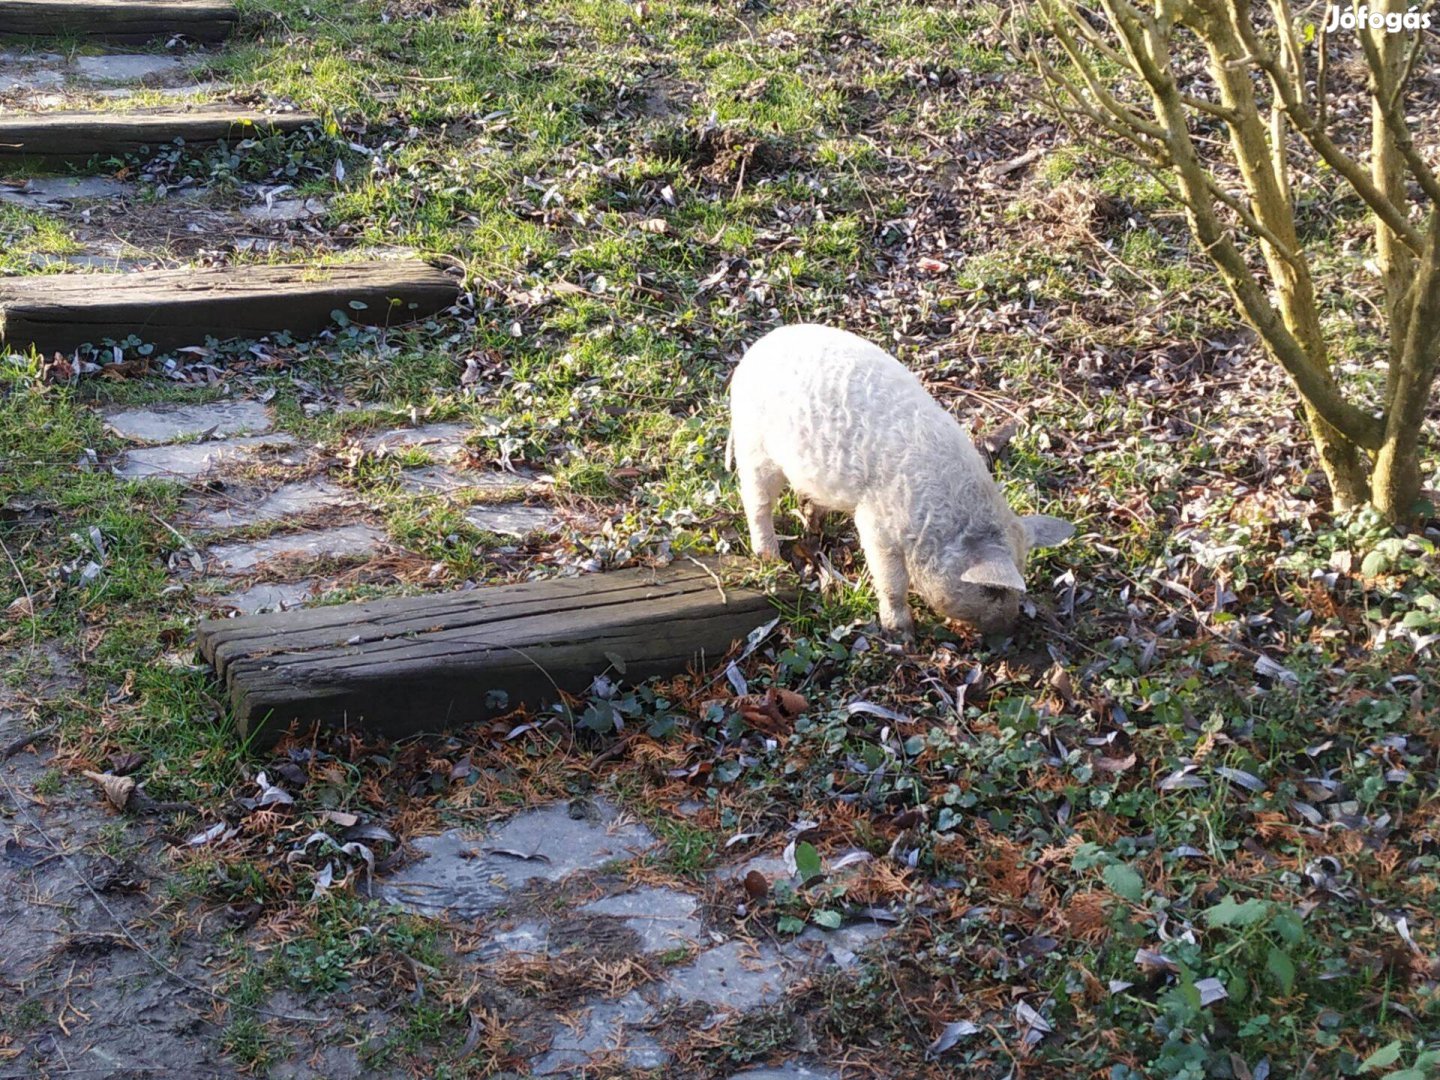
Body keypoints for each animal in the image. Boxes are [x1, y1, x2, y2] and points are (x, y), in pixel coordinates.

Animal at [725, 321, 1077, 642]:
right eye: (991, 590)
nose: (1008, 631)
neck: (942, 523)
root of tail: (756, 351)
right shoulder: (875, 525)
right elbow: (891, 580)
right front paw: (902, 635)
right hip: (754, 445)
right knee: (756, 501)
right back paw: (770, 556)